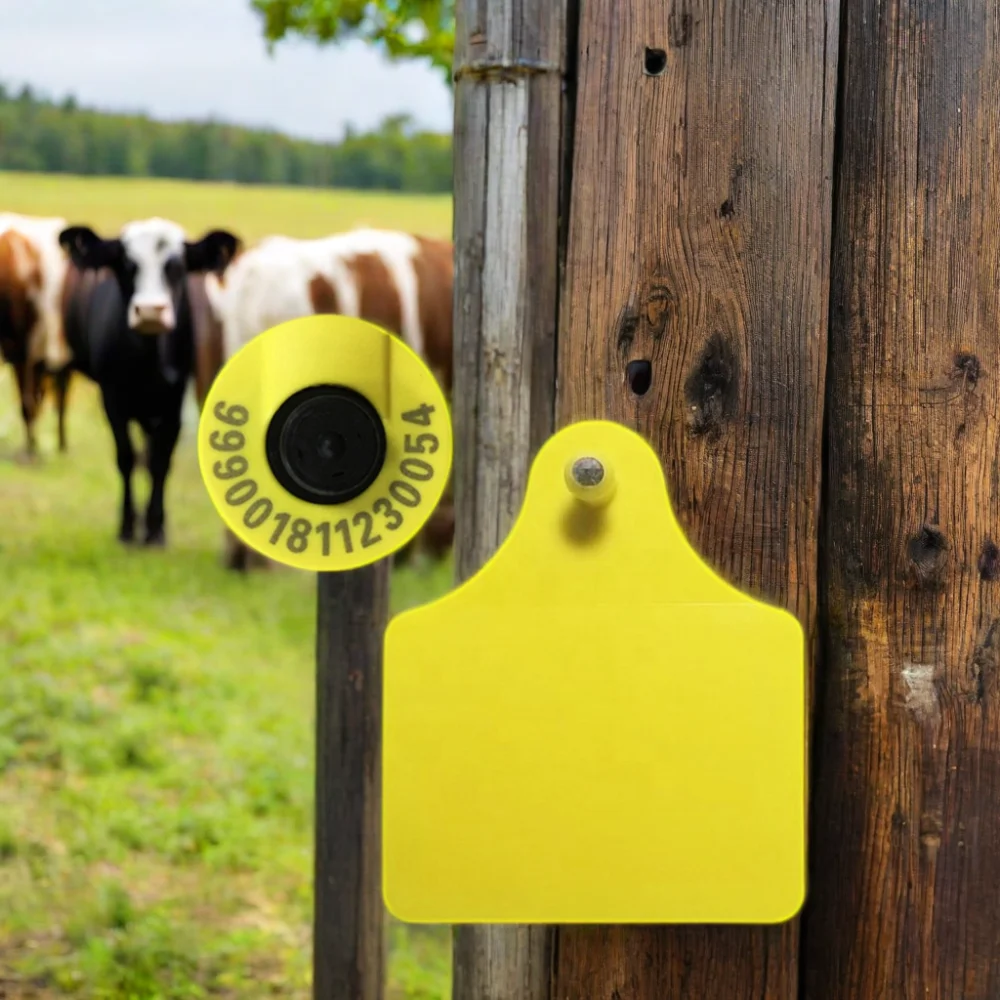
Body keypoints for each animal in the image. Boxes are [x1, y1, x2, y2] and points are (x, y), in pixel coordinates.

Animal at [58, 217, 240, 546]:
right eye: (126, 264)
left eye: (177, 267)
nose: (151, 312)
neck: (147, 364)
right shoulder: (112, 399)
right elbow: (126, 458)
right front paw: (128, 527)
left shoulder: (175, 402)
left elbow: (160, 461)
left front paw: (156, 528)